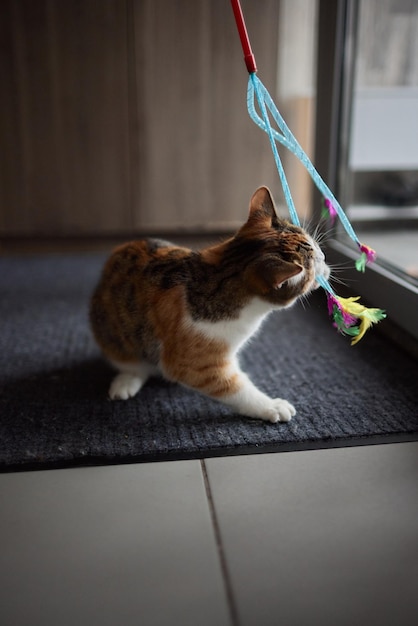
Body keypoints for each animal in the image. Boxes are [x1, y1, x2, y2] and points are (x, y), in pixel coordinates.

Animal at [90, 184, 330, 420]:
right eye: (313, 263)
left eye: (314, 245)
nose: (324, 256)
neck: (220, 274)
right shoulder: (195, 365)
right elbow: (235, 389)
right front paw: (271, 406)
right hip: (116, 338)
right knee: (133, 364)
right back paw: (125, 382)